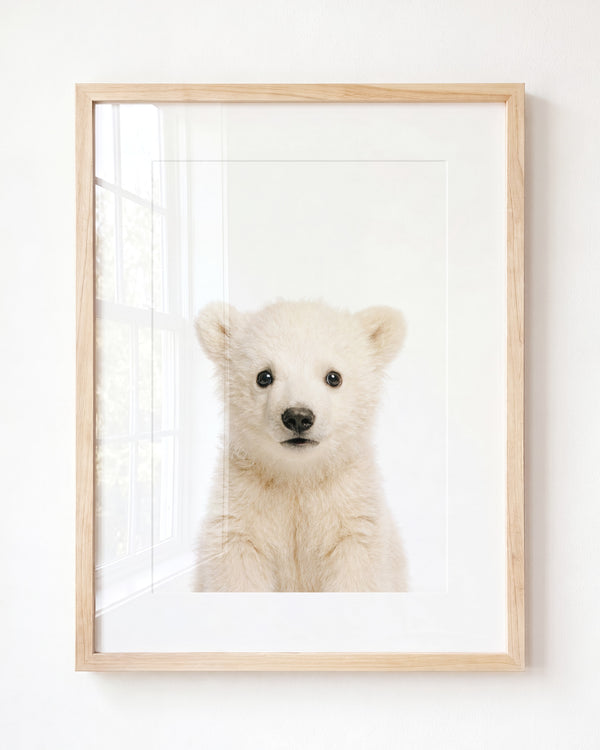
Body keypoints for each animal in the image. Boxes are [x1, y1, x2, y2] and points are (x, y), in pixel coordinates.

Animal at [193, 299, 408, 592]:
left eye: (333, 377)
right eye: (264, 376)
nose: (298, 416)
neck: (298, 476)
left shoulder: (351, 514)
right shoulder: (242, 510)